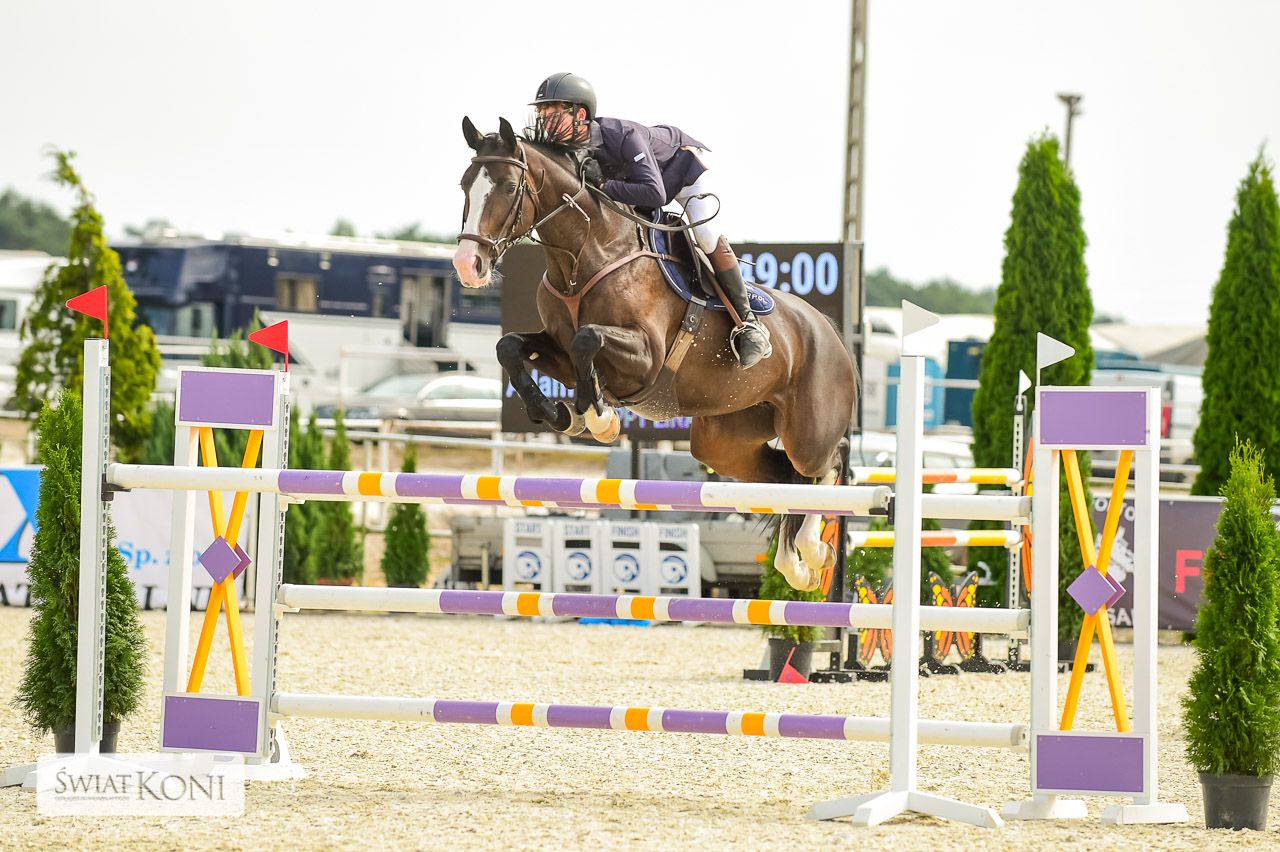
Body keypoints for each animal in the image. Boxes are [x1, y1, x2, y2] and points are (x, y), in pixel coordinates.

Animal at [452, 117, 857, 592]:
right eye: (465, 184)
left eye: (510, 185)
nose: (467, 264)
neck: (585, 253)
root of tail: (831, 333)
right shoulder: (560, 355)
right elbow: (511, 347)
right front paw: (558, 415)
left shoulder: (644, 358)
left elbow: (587, 339)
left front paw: (599, 419)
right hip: (724, 441)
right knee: (787, 477)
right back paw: (795, 564)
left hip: (807, 430)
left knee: (826, 462)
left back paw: (812, 552)